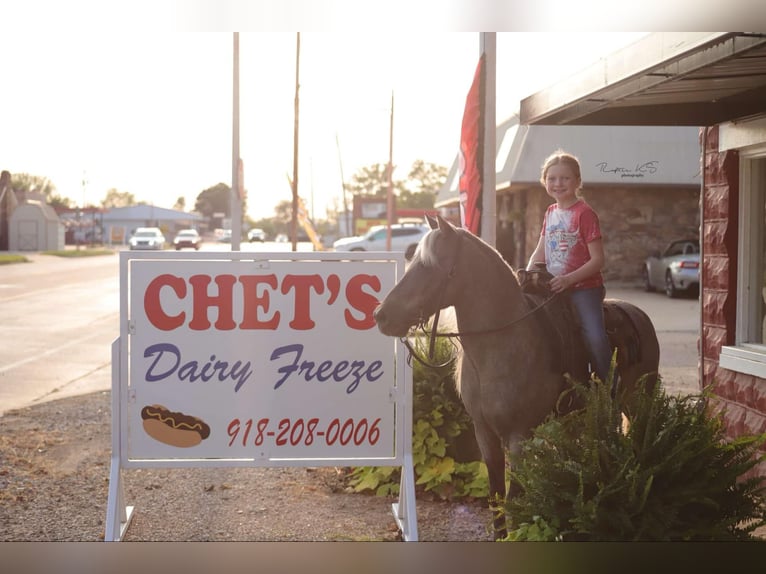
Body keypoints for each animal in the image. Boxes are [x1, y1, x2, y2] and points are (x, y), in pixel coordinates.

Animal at [376, 215, 664, 540]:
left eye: (427, 266)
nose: (381, 316)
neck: (502, 344)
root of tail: (638, 315)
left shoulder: (519, 436)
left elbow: (513, 498)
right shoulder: (484, 433)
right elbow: (496, 496)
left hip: (637, 405)